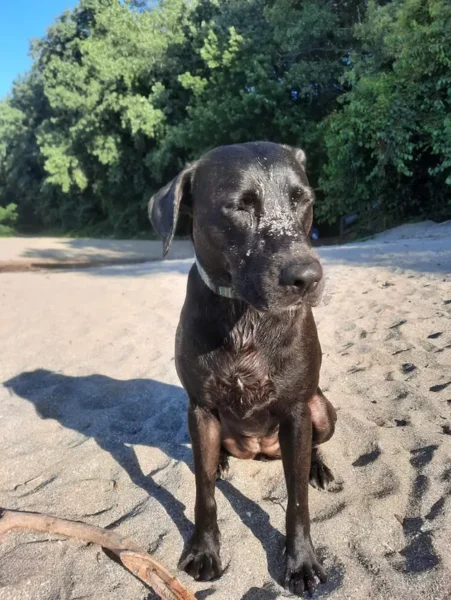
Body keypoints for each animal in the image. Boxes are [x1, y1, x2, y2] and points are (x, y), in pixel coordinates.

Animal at [150, 141, 338, 596]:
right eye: (239, 206)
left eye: (302, 199)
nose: (308, 277)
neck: (245, 316)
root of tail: (262, 450)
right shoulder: (200, 408)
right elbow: (203, 492)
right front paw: (204, 550)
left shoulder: (296, 411)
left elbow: (297, 503)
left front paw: (301, 562)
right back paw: (219, 461)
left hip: (322, 410)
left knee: (313, 446)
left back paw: (318, 468)